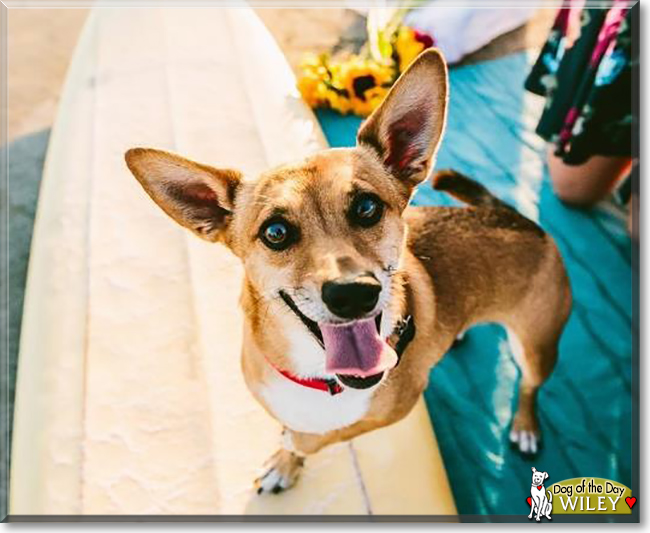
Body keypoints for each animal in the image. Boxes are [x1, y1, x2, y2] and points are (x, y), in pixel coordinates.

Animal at [124, 47, 568, 492]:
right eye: (275, 232)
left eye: (367, 208)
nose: (353, 293)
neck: (320, 379)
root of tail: (515, 218)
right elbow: (296, 430)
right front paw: (285, 459)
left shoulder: (394, 410)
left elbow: (317, 436)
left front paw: (293, 449)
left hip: (536, 349)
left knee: (530, 387)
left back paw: (525, 426)